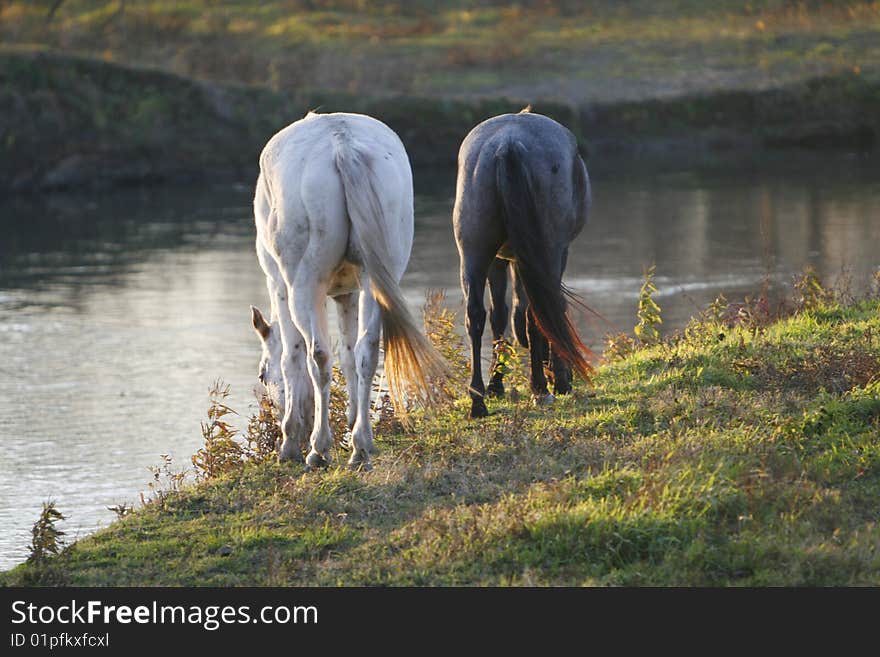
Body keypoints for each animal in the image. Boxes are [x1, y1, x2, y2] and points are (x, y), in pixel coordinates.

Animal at [249, 111, 446, 466]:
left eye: (261, 375)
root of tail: (342, 145)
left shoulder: (278, 286)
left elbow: (291, 356)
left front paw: (290, 441)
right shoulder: (347, 293)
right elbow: (350, 355)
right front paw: (354, 422)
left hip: (303, 286)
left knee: (318, 355)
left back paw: (318, 449)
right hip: (374, 280)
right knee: (368, 349)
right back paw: (361, 445)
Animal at [454, 107, 592, 416]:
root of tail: (507, 144)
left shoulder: (500, 261)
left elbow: (500, 315)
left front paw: (496, 384)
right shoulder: (552, 255)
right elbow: (550, 309)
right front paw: (560, 378)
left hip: (474, 252)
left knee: (475, 315)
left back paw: (478, 400)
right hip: (549, 251)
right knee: (536, 313)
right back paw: (540, 388)